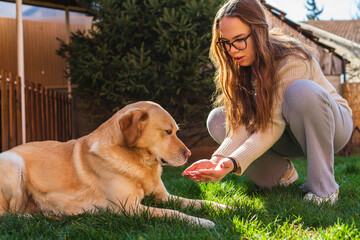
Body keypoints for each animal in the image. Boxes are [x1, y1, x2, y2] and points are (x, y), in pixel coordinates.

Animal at [0, 101, 228, 227]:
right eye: (168, 132)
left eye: (176, 131)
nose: (188, 153)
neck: (141, 163)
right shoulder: (129, 209)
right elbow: (172, 213)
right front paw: (201, 222)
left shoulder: (162, 197)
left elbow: (197, 202)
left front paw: (224, 206)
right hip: (13, 164)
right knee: (11, 216)